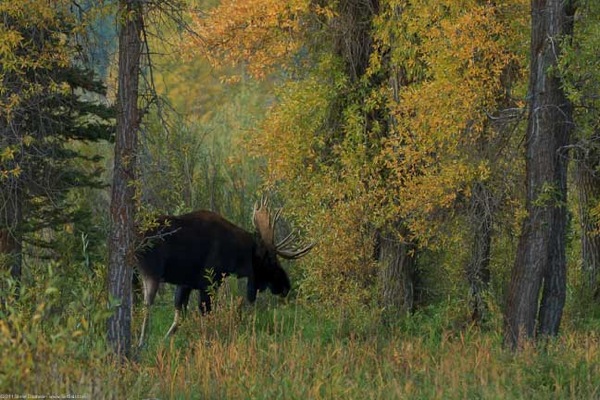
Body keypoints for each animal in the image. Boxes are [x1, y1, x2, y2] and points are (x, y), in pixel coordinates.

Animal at [137, 198, 314, 346]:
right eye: (271, 259)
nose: (286, 286)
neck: (236, 256)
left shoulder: (185, 283)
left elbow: (178, 318)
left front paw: (165, 341)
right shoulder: (208, 282)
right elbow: (205, 314)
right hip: (151, 272)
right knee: (146, 306)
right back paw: (141, 342)